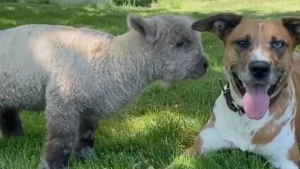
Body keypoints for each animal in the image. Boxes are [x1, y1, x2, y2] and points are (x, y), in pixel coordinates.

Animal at [0, 13, 209, 168]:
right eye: (178, 43)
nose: (205, 65)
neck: (114, 58)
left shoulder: (90, 102)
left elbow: (87, 134)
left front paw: (86, 157)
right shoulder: (63, 99)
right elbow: (61, 138)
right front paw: (53, 164)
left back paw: (15, 138)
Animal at [168, 13, 300, 169]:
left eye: (278, 44)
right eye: (242, 42)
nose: (259, 68)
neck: (246, 117)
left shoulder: (287, 160)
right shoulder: (195, 150)